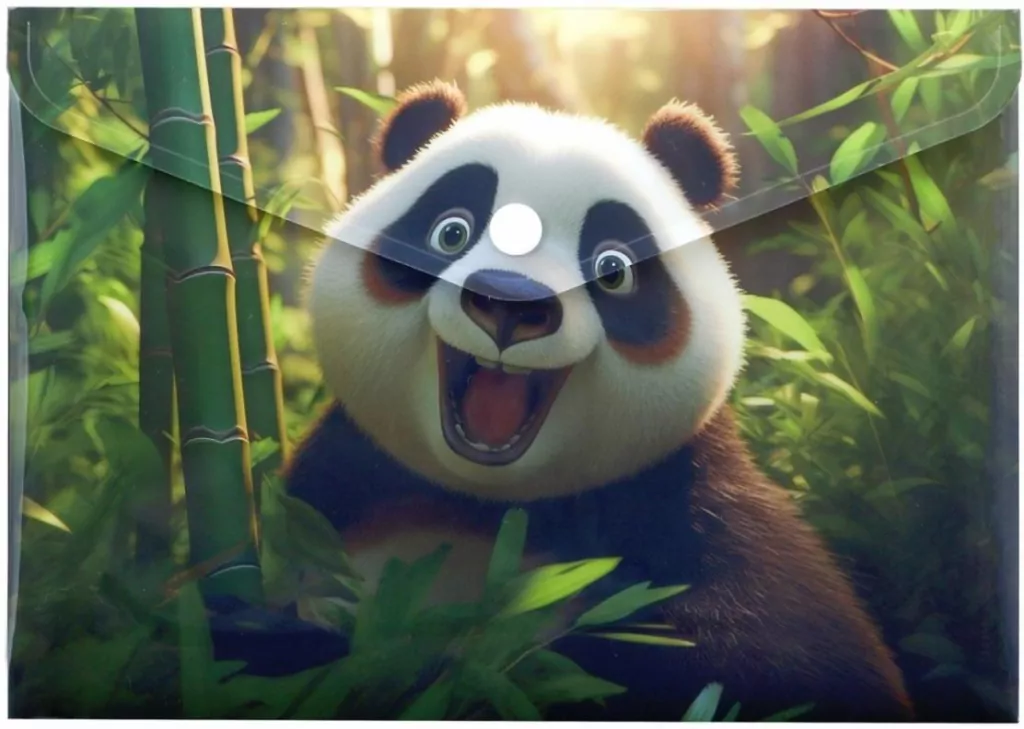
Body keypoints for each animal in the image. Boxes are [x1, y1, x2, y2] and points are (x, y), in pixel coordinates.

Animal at [213, 80, 913, 721]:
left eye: (612, 268)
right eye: (450, 232)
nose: (508, 301)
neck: (496, 506)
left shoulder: (693, 504)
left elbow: (764, 655)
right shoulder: (331, 495)